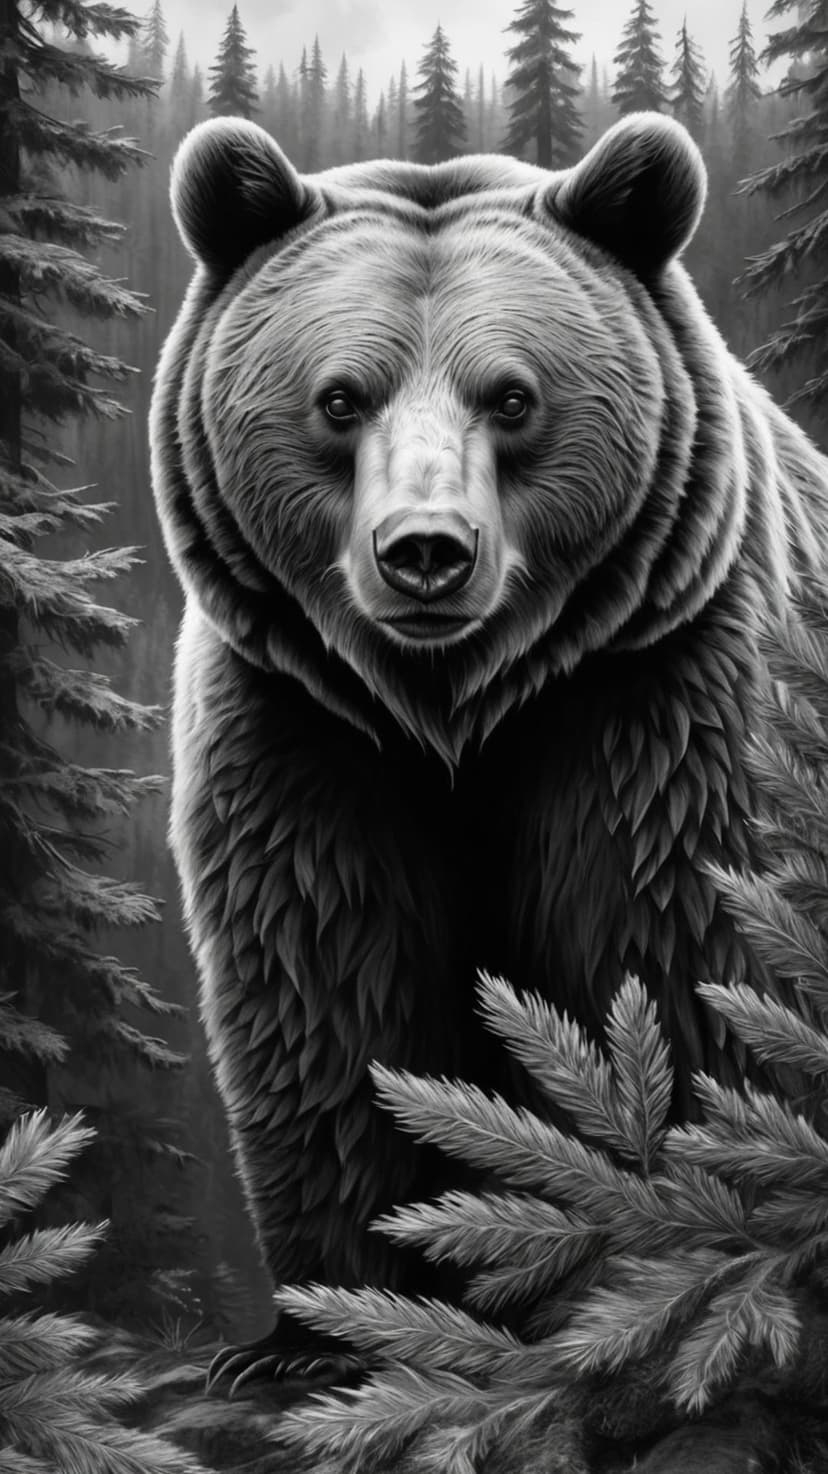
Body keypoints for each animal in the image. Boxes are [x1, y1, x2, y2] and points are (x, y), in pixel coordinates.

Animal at [149, 111, 828, 1391]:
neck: (461, 709)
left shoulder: (660, 692)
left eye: (511, 395)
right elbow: (328, 991)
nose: (425, 550)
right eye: (340, 396)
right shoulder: (305, 728)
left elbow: (680, 955)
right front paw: (321, 1332)